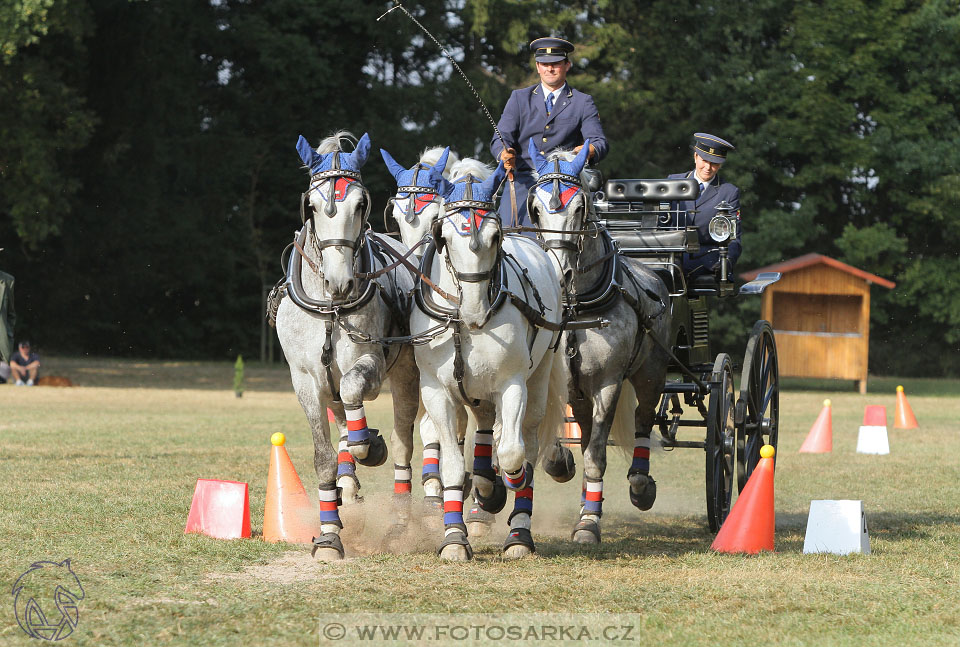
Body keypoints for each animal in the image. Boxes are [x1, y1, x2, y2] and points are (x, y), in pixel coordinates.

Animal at [272, 132, 418, 560]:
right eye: (312, 206)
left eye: (360, 203)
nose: (340, 283)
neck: (331, 307)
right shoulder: (305, 380)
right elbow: (324, 458)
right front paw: (328, 535)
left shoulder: (370, 362)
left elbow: (356, 395)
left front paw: (370, 446)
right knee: (341, 421)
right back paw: (348, 485)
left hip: (408, 377)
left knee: (402, 443)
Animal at [410, 149, 564, 560]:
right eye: (444, 237)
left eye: (495, 236)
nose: (475, 310)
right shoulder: (436, 391)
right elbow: (450, 465)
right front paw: (453, 538)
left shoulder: (513, 384)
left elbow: (512, 453)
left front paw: (507, 484)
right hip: (476, 391)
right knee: (482, 427)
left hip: (539, 377)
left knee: (526, 441)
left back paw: (518, 530)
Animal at [524, 139, 668, 544]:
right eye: (535, 208)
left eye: (580, 208)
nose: (559, 272)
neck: (578, 307)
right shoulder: (562, 381)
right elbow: (562, 441)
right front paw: (561, 466)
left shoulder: (608, 382)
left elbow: (597, 456)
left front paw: (588, 524)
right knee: (588, 431)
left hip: (651, 373)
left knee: (643, 419)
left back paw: (640, 485)